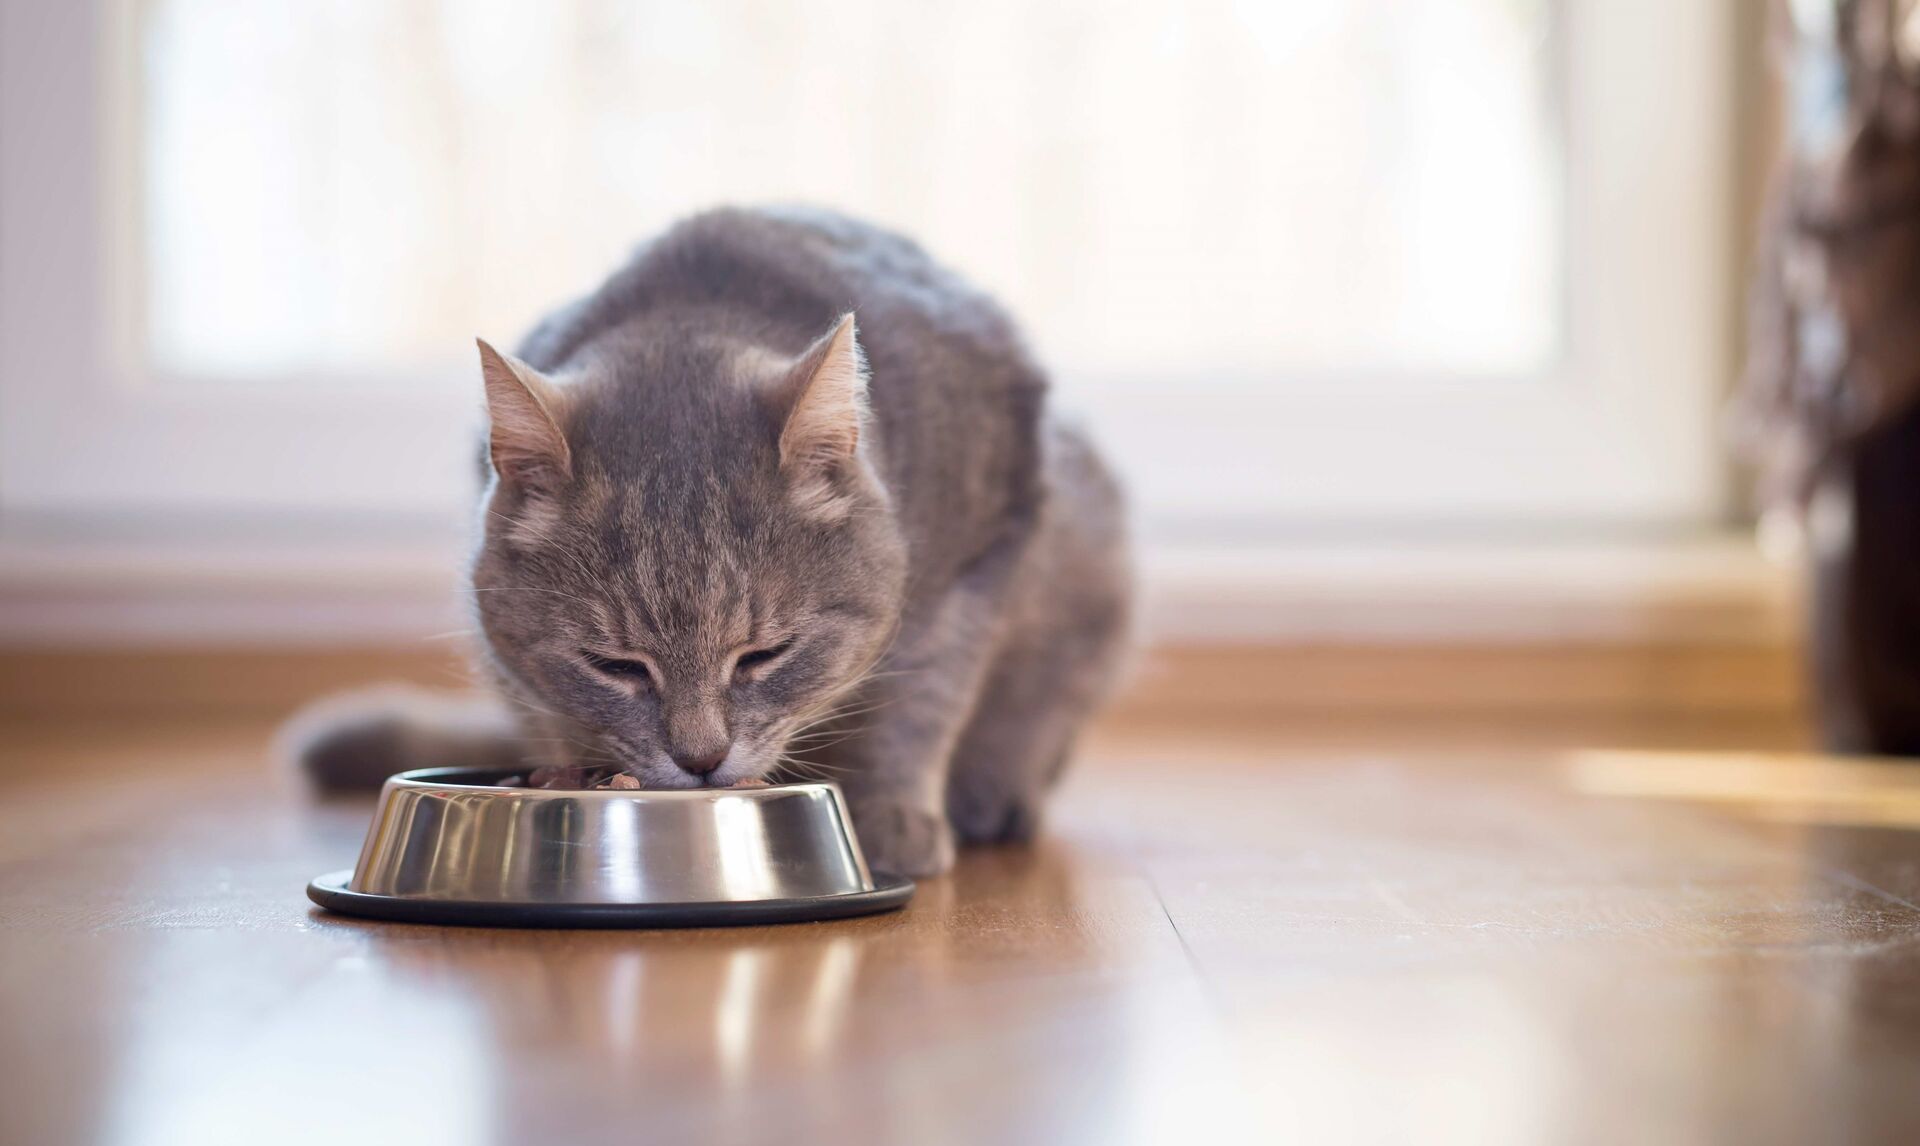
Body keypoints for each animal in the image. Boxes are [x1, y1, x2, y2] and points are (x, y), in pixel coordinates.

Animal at [291, 205, 1128, 871]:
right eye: (614, 665)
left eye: (765, 656)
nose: (700, 759)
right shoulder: (511, 656)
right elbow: (548, 709)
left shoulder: (977, 561)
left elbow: (921, 701)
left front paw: (894, 817)